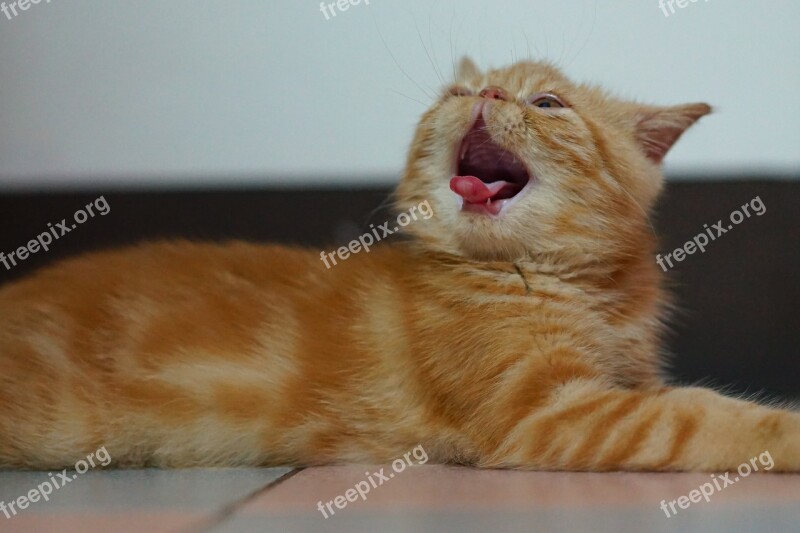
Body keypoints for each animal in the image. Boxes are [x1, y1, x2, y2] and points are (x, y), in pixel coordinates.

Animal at [0, 59, 796, 474]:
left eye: (547, 101)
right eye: (459, 93)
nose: (486, 93)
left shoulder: (622, 383)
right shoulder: (547, 413)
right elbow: (697, 416)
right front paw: (784, 432)